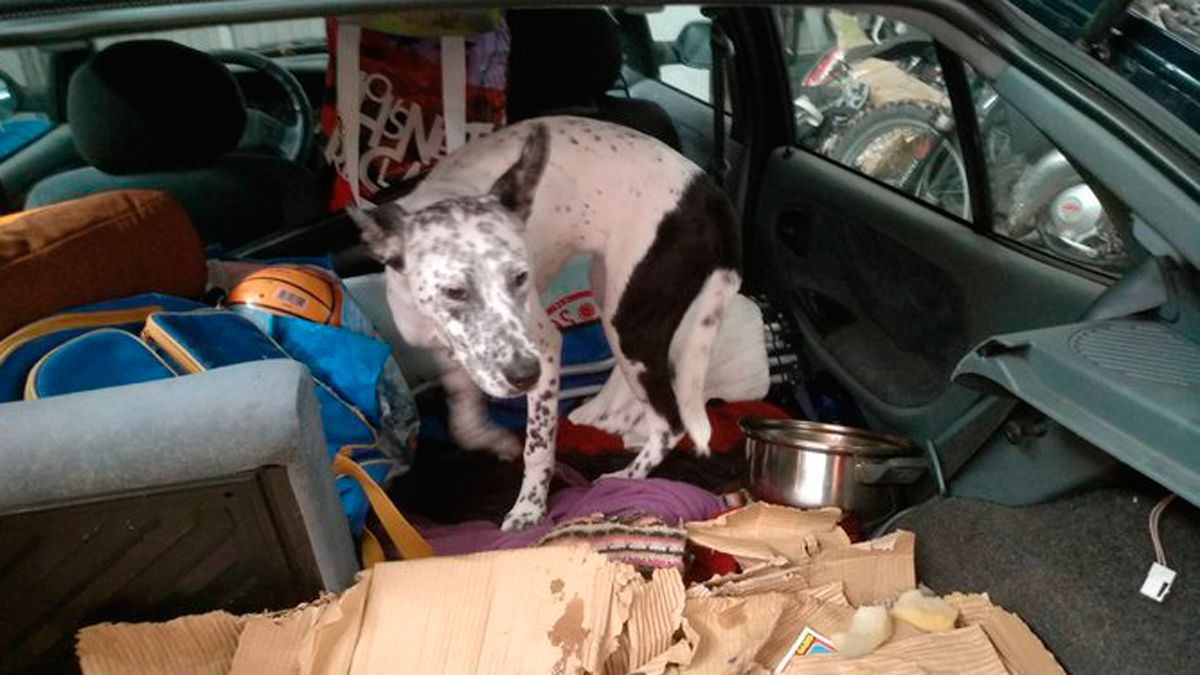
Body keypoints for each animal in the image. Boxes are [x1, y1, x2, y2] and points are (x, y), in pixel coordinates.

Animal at [350, 115, 739, 528]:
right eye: (455, 291)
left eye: (521, 276)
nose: (525, 376)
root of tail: (709, 192)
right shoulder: (449, 353)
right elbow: (463, 422)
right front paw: (494, 441)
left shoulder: (546, 348)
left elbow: (537, 446)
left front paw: (529, 509)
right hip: (606, 289)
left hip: (628, 328)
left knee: (670, 422)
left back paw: (626, 476)